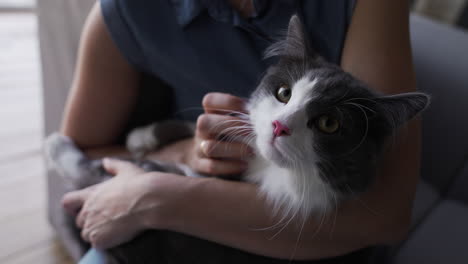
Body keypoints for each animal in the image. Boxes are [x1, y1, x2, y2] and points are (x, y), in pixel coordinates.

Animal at [45, 14, 430, 264]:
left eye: (329, 124)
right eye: (283, 92)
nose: (279, 126)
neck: (268, 170)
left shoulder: (164, 238)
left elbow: (102, 174)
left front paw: (58, 145)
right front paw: (144, 135)